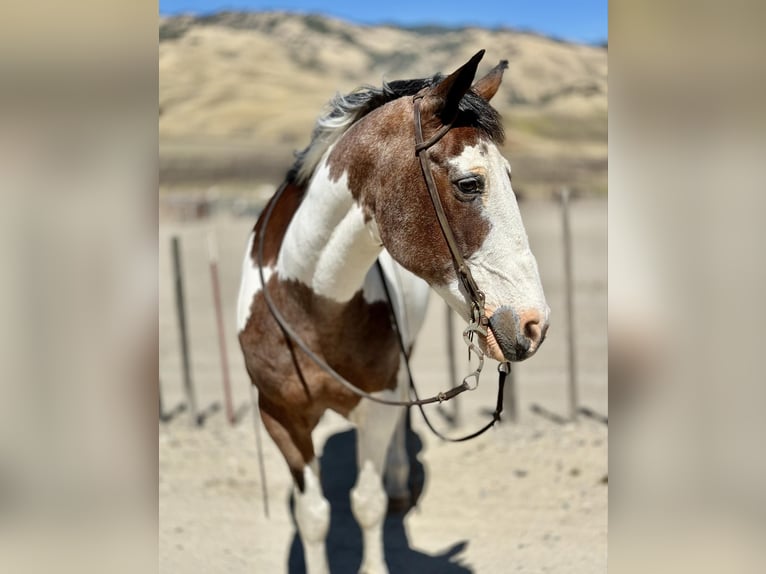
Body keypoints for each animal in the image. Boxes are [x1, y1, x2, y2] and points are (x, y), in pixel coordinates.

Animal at [237, 50, 549, 574]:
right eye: (470, 183)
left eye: (509, 178)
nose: (535, 324)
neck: (310, 304)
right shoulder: (280, 417)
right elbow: (313, 515)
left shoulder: (378, 405)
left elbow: (367, 503)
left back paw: (401, 482)